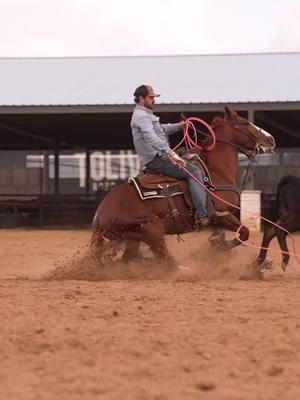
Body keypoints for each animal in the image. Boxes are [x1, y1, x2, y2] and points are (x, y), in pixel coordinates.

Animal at [92, 106, 276, 270]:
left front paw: (217, 242)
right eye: (245, 122)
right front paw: (219, 246)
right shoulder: (222, 215)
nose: (271, 139)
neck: (215, 171)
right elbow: (244, 232)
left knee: (130, 260)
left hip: (134, 239)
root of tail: (99, 216)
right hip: (152, 231)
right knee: (166, 262)